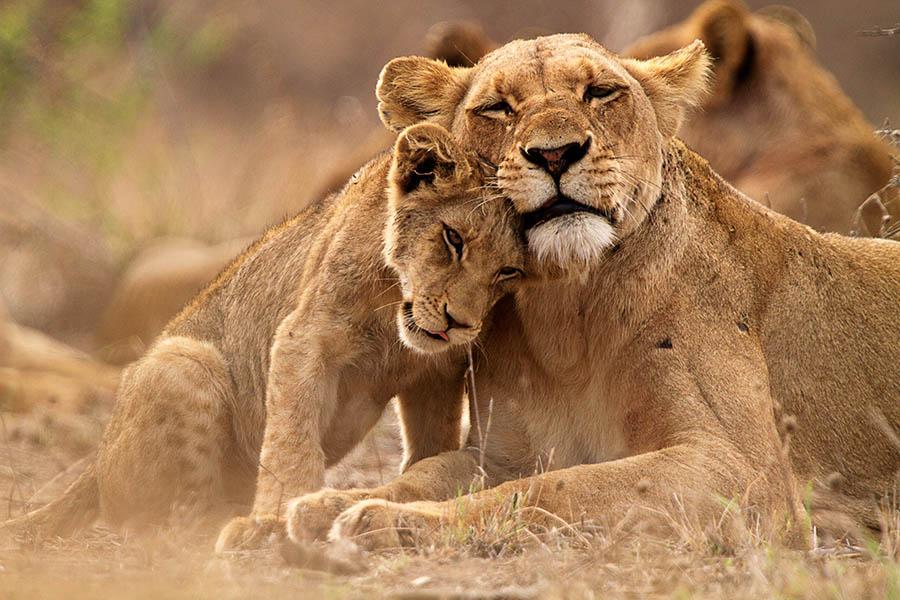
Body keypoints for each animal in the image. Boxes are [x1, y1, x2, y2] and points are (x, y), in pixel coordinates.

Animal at [3, 123, 525, 544]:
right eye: (453, 239)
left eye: (509, 271)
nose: (460, 323)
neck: (392, 313)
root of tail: (94, 466)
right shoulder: (303, 338)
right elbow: (291, 441)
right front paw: (276, 517)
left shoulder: (436, 373)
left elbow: (431, 445)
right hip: (184, 361)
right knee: (167, 522)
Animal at [281, 34, 900, 552]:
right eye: (498, 107)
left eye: (600, 92)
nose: (555, 153)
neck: (566, 312)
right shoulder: (502, 454)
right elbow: (426, 473)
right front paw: (331, 503)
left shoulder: (747, 473)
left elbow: (556, 488)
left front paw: (386, 521)